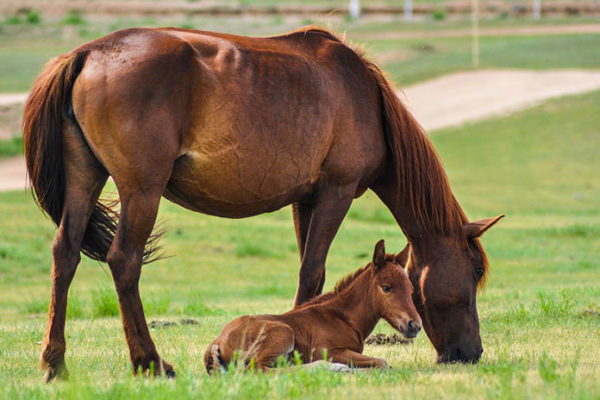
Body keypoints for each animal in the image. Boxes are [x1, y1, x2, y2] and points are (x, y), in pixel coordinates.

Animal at [23, 25, 502, 382]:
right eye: (474, 272)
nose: (471, 353)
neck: (365, 98)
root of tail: (86, 54)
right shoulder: (336, 192)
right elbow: (312, 270)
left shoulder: (305, 199)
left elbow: (310, 274)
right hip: (141, 189)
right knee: (125, 260)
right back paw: (149, 362)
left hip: (85, 178)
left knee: (65, 255)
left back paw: (55, 363)